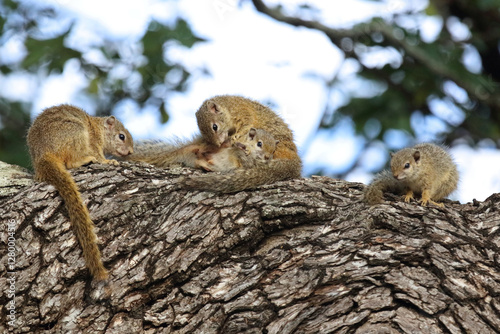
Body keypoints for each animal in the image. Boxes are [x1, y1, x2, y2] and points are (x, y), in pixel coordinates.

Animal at [26, 103, 133, 280]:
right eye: (121, 136)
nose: (131, 152)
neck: (97, 127)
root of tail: (43, 155)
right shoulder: (94, 141)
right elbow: (99, 155)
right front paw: (108, 161)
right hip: (75, 133)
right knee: (70, 163)